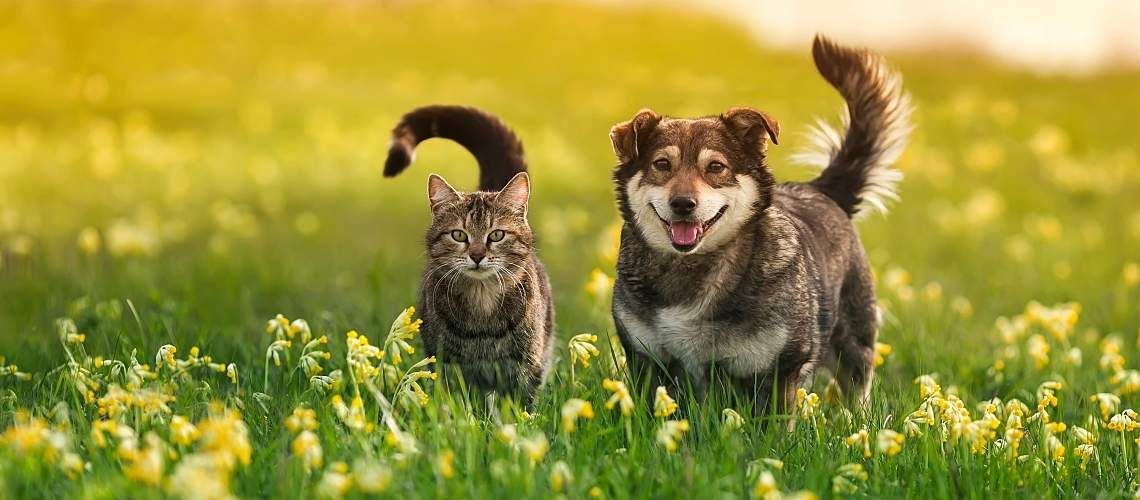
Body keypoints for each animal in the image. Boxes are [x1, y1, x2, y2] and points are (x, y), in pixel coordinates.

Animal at [383, 106, 556, 407]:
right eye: (459, 235)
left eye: (496, 235)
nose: (477, 255)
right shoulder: (447, 363)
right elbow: (454, 404)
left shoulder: (527, 364)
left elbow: (522, 406)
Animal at [611, 35, 912, 416]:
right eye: (662, 164)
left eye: (716, 167)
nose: (682, 204)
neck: (693, 269)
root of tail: (821, 189)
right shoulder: (647, 360)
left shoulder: (778, 370)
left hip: (855, 342)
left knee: (857, 389)